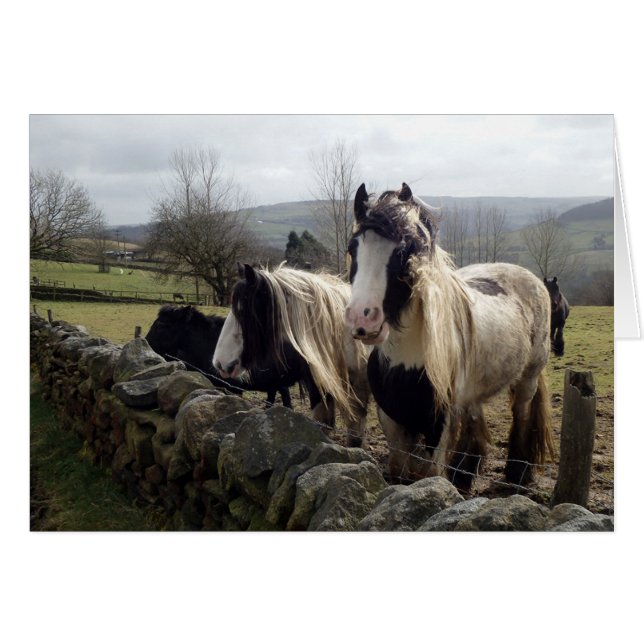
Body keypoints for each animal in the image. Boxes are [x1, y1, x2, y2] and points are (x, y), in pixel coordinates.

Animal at [344, 182, 554, 489]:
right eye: (352, 248)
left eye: (402, 252)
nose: (361, 318)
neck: (407, 360)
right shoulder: (391, 418)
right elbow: (398, 474)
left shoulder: (439, 424)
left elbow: (433, 476)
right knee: (474, 418)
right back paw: (464, 476)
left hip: (527, 379)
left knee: (522, 415)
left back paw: (517, 475)